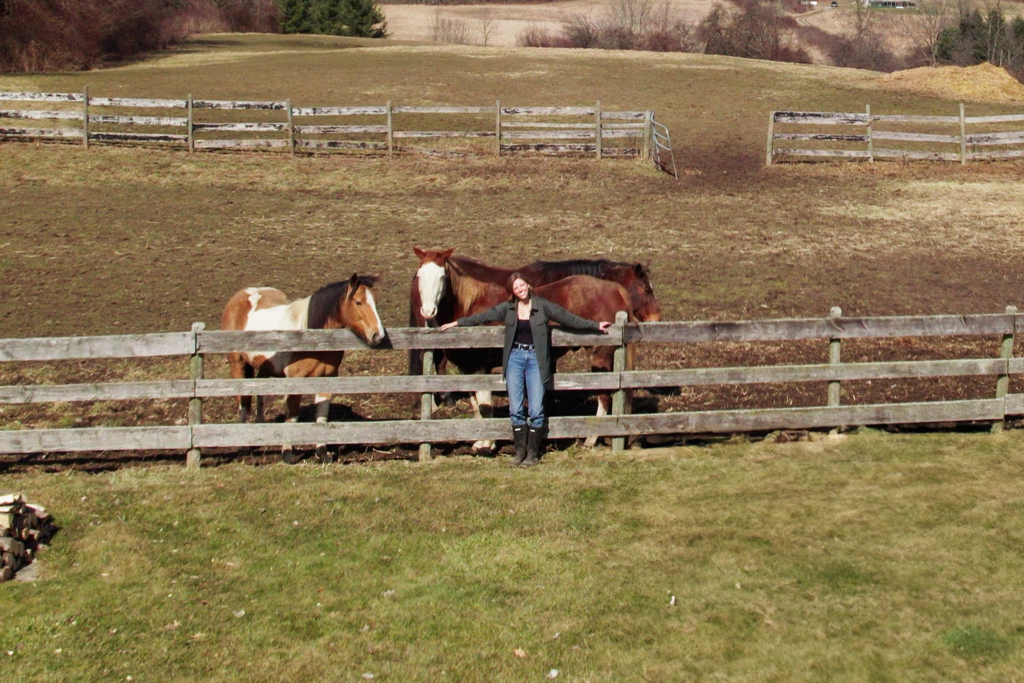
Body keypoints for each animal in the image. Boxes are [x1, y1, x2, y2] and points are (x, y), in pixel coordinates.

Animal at [221, 273, 387, 462]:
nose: (378, 335)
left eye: (375, 301)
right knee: (242, 399)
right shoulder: (295, 380)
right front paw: (287, 454)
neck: (310, 338)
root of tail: (242, 294)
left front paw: (322, 454)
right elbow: (292, 417)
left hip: (266, 366)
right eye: (358, 302)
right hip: (237, 364)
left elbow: (321, 416)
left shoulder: (327, 379)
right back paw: (244, 443)